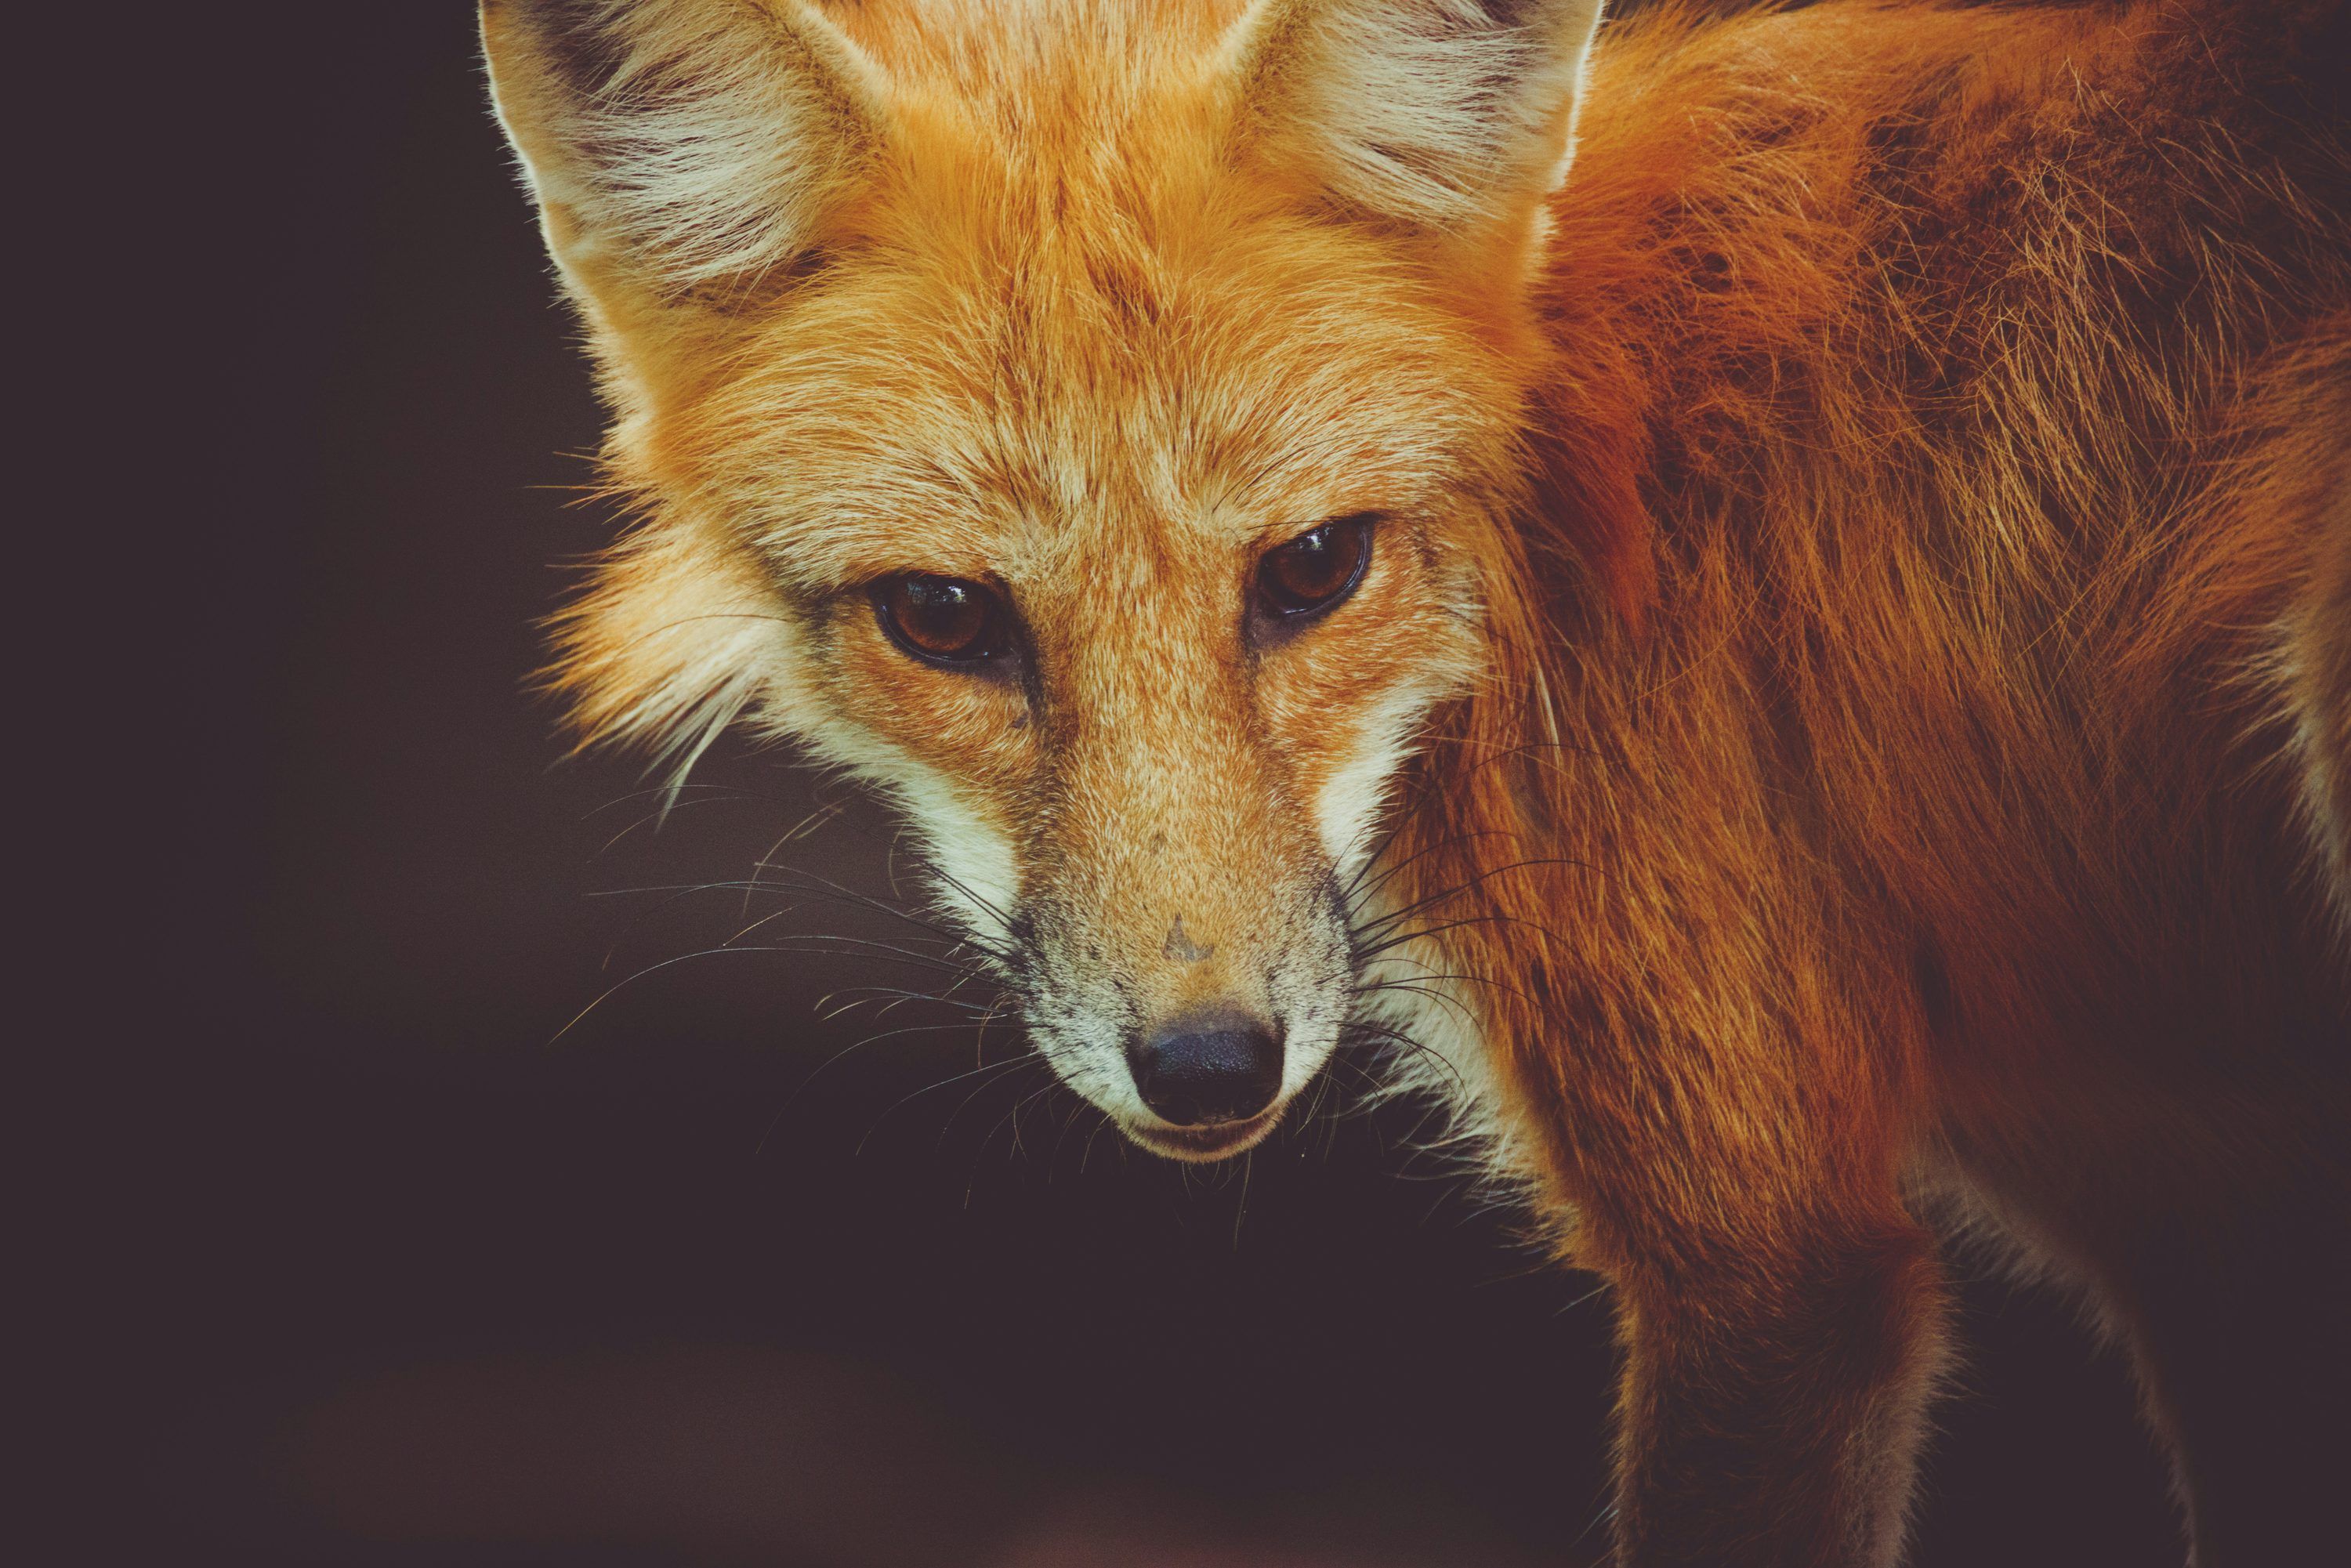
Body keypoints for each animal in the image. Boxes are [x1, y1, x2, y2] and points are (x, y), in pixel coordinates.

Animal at [480, 0, 2350, 1562]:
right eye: (944, 617)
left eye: (1315, 568)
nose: (1210, 1067)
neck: (1562, 522)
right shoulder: (2203, 1192)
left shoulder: (1774, 1259)